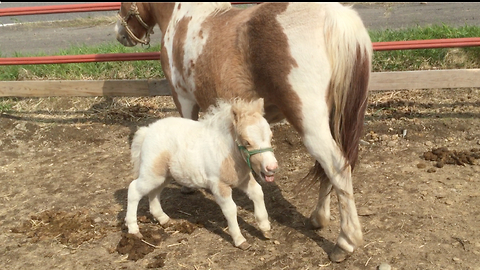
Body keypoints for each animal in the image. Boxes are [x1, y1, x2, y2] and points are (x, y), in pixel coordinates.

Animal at [115, 2, 372, 262]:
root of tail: (336, 16)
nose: (120, 33)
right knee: (327, 168)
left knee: (336, 166)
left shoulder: (184, 99)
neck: (182, 16)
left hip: (311, 125)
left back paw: (345, 242)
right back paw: (319, 218)